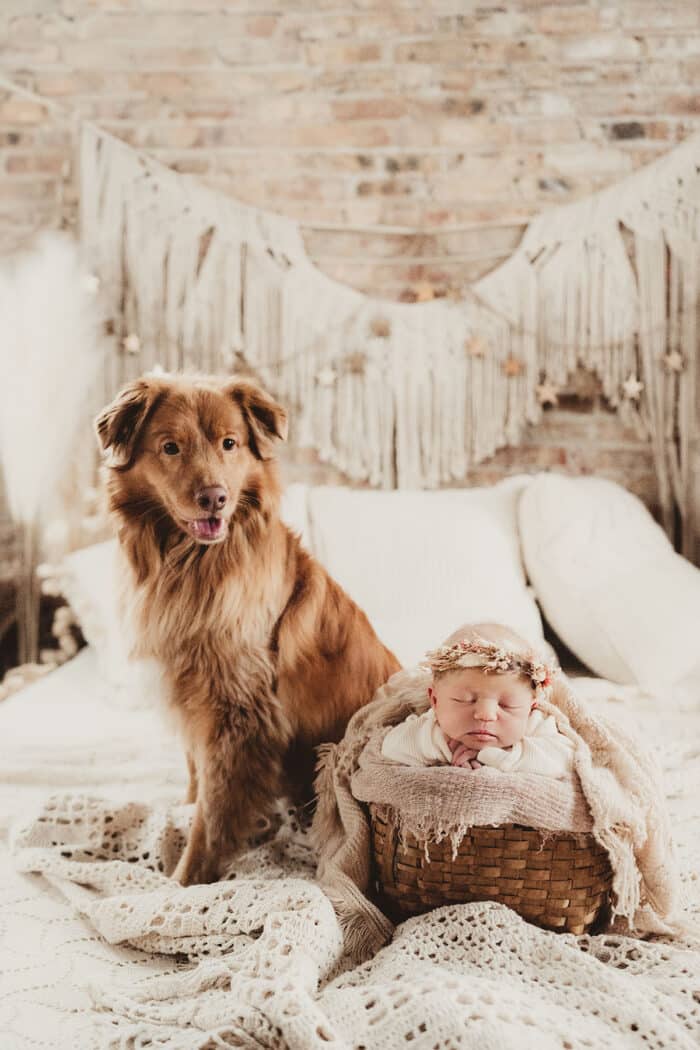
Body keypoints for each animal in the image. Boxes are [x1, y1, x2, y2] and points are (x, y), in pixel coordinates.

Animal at [93, 373, 398, 881]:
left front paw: (187, 879)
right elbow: (196, 775)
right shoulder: (190, 691)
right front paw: (181, 812)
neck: (191, 566)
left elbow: (215, 809)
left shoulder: (237, 710)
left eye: (229, 443)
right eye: (170, 447)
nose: (214, 497)